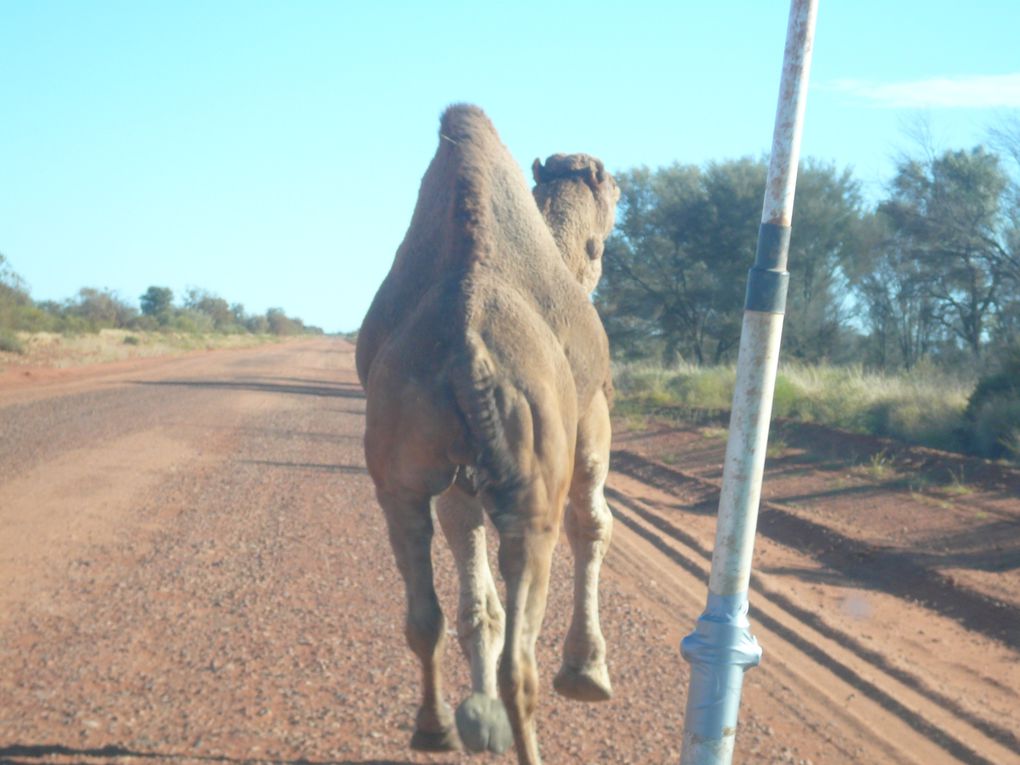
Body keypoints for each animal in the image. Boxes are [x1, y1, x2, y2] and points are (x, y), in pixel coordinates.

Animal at [359, 103, 620, 765]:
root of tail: (466, 345)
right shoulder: (590, 420)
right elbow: (593, 522)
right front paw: (587, 673)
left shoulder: (460, 480)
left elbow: (476, 601)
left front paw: (480, 720)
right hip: (535, 480)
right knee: (520, 662)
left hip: (400, 472)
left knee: (424, 616)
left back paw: (436, 728)